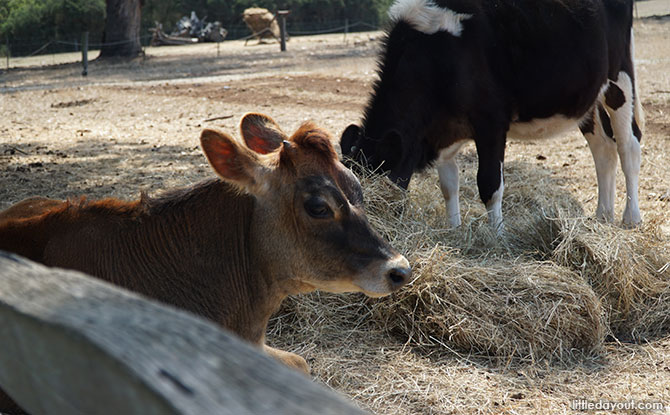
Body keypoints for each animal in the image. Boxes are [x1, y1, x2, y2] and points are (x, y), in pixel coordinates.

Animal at [344, 0, 648, 231]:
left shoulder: (491, 121)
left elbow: (489, 184)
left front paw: (497, 235)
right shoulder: (442, 127)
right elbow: (448, 185)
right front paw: (454, 229)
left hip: (620, 80)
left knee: (628, 147)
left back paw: (630, 218)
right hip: (587, 97)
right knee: (603, 150)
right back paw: (602, 216)